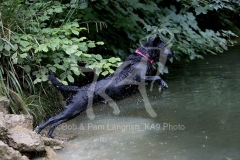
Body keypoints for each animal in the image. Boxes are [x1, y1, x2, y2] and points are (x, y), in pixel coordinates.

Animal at [35, 35, 173, 138]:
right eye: (164, 46)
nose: (174, 52)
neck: (142, 58)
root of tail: (79, 88)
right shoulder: (139, 80)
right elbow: (156, 77)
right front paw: (164, 84)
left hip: (74, 112)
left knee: (56, 122)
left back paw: (50, 135)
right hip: (72, 109)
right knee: (52, 119)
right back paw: (38, 130)